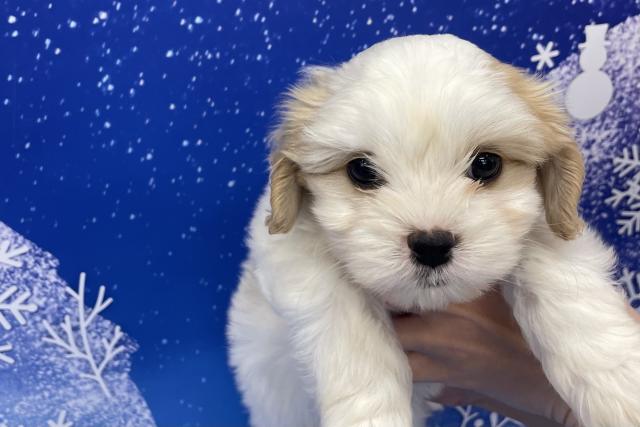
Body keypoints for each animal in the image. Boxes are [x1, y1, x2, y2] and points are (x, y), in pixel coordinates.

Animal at [227, 34, 640, 427]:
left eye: (486, 164)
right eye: (361, 170)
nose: (431, 245)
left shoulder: (545, 221)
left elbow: (563, 282)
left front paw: (620, 385)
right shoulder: (288, 244)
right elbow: (349, 327)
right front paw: (373, 416)